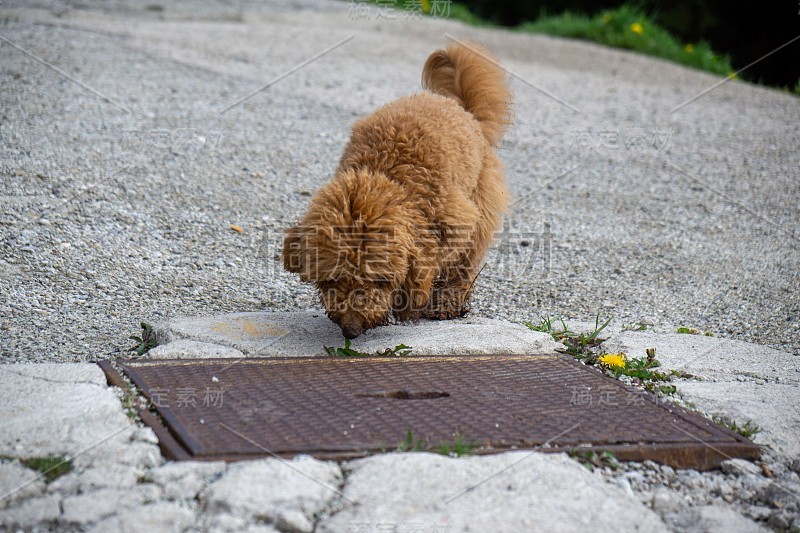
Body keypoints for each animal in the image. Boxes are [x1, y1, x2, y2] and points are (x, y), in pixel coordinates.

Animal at [284, 43, 512, 338]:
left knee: (464, 263)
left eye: (379, 280)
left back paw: (446, 303)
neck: (385, 174)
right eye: (332, 278)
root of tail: (462, 109)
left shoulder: (454, 222)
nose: (350, 330)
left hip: (481, 204)